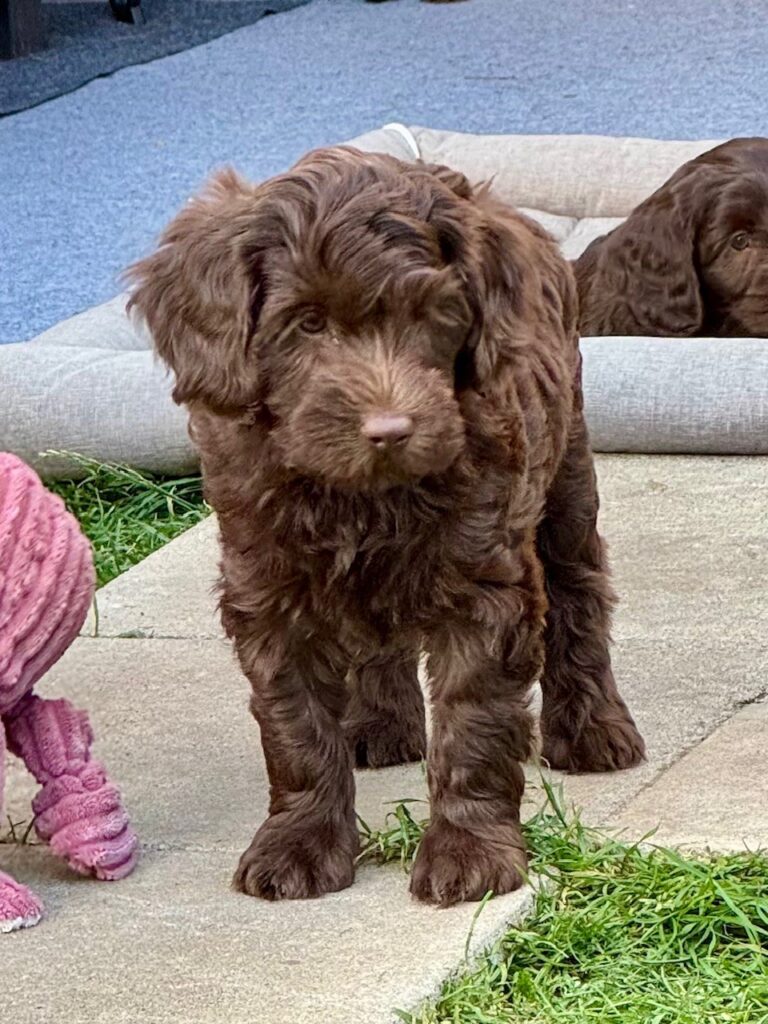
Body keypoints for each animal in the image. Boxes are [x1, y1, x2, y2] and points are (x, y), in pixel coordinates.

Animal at [129, 149, 647, 905]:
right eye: (307, 323)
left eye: (431, 317)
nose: (391, 429)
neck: (362, 498)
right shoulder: (266, 585)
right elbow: (295, 726)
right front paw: (297, 844)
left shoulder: (485, 578)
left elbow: (473, 719)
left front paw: (470, 853)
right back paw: (380, 724)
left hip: (566, 471)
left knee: (579, 593)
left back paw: (591, 729)